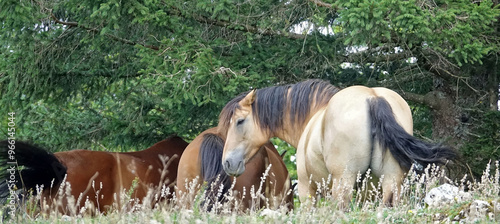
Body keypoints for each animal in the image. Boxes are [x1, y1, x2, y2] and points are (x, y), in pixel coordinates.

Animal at [221, 79, 456, 208]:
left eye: (240, 121)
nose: (227, 163)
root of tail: (372, 98)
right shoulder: (367, 192)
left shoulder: (307, 190)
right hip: (390, 181)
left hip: (344, 181)